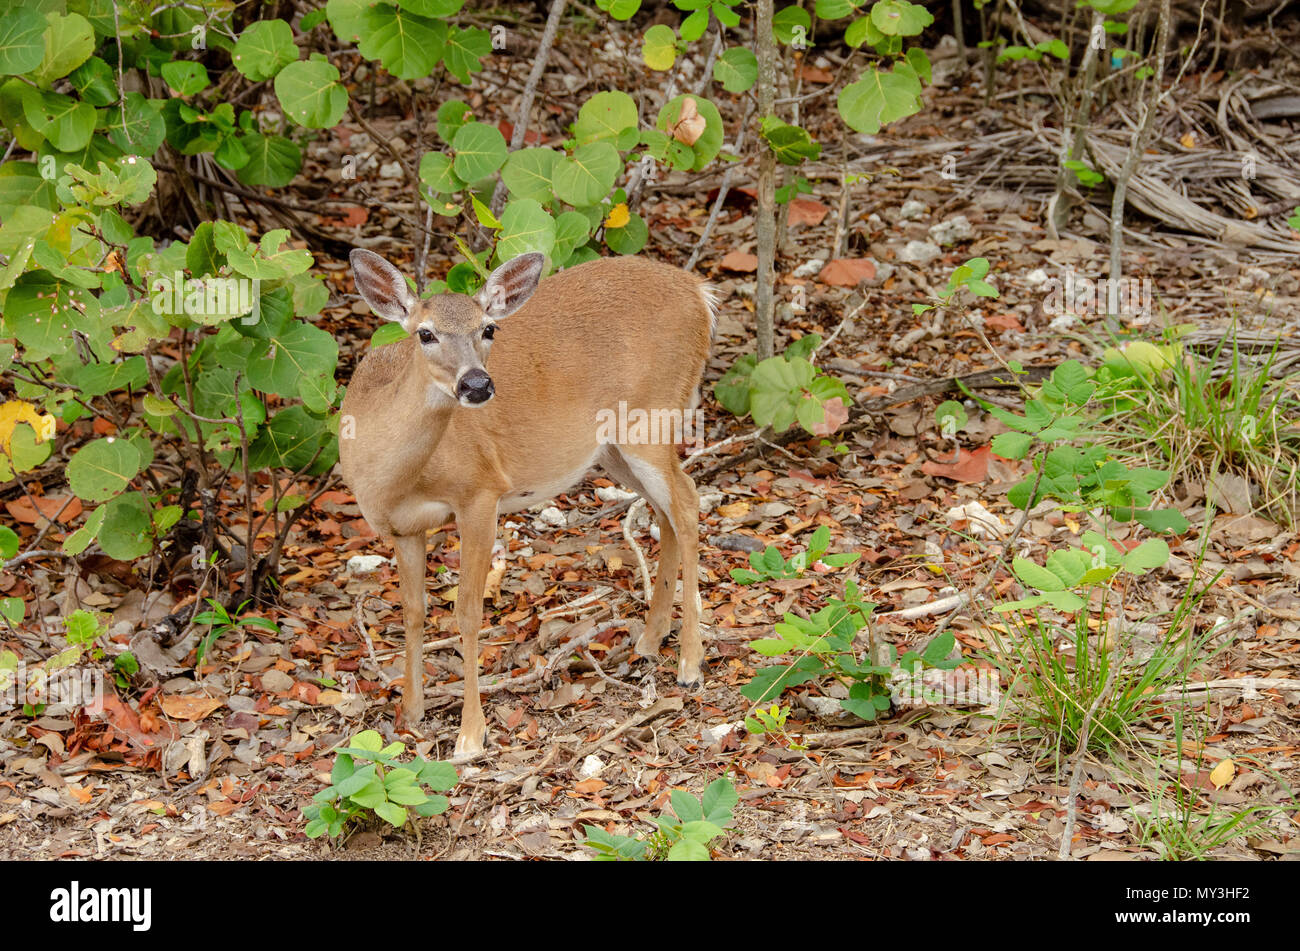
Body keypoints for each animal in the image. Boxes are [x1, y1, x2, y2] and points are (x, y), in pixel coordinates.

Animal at [340, 250, 717, 758]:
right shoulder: (403, 528)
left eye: (488, 328)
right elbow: (413, 612)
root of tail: (700, 292)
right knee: (666, 512)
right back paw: (649, 640)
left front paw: (470, 734)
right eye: (425, 333)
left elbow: (467, 612)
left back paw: (690, 664)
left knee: (689, 500)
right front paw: (411, 711)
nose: (476, 384)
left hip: (652, 415)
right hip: (612, 449)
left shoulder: (480, 491)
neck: (391, 476)